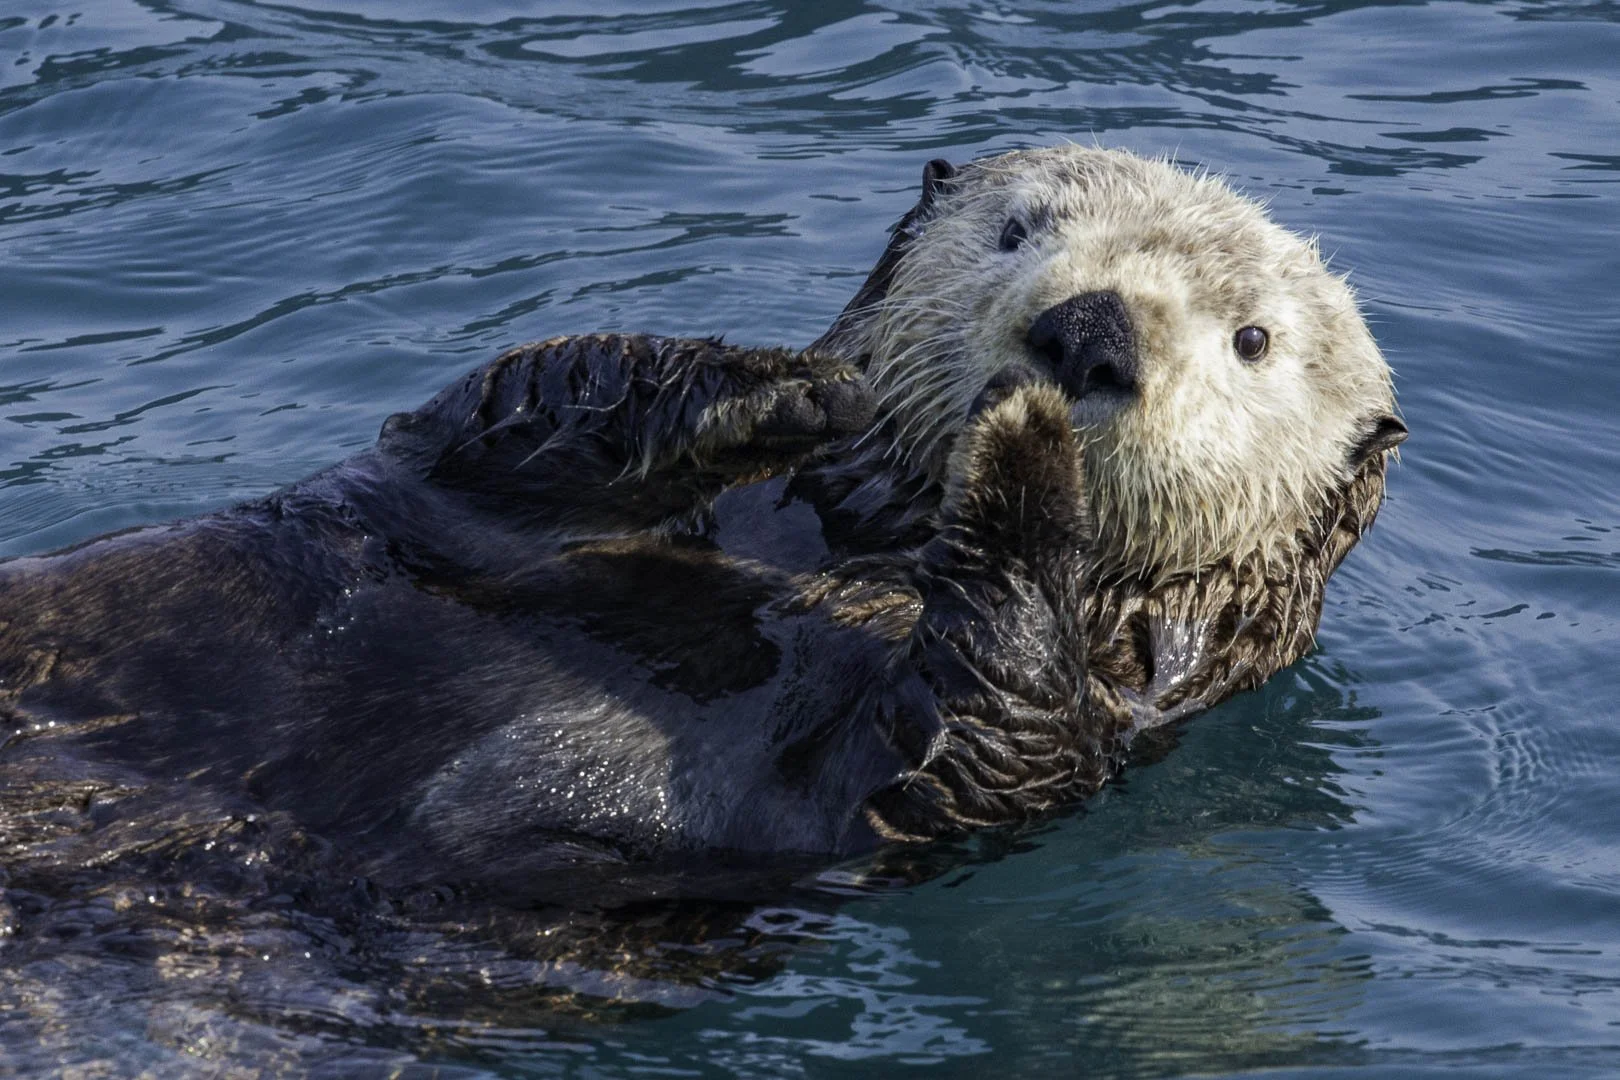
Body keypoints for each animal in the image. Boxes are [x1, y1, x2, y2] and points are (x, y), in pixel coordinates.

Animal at [0, 147, 1403, 881]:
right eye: (1018, 228)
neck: (857, 551)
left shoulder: (1059, 745)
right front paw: (780, 387)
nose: (1091, 331)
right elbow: (507, 417)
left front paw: (1025, 466)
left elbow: (983, 737)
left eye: (1253, 339)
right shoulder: (452, 500)